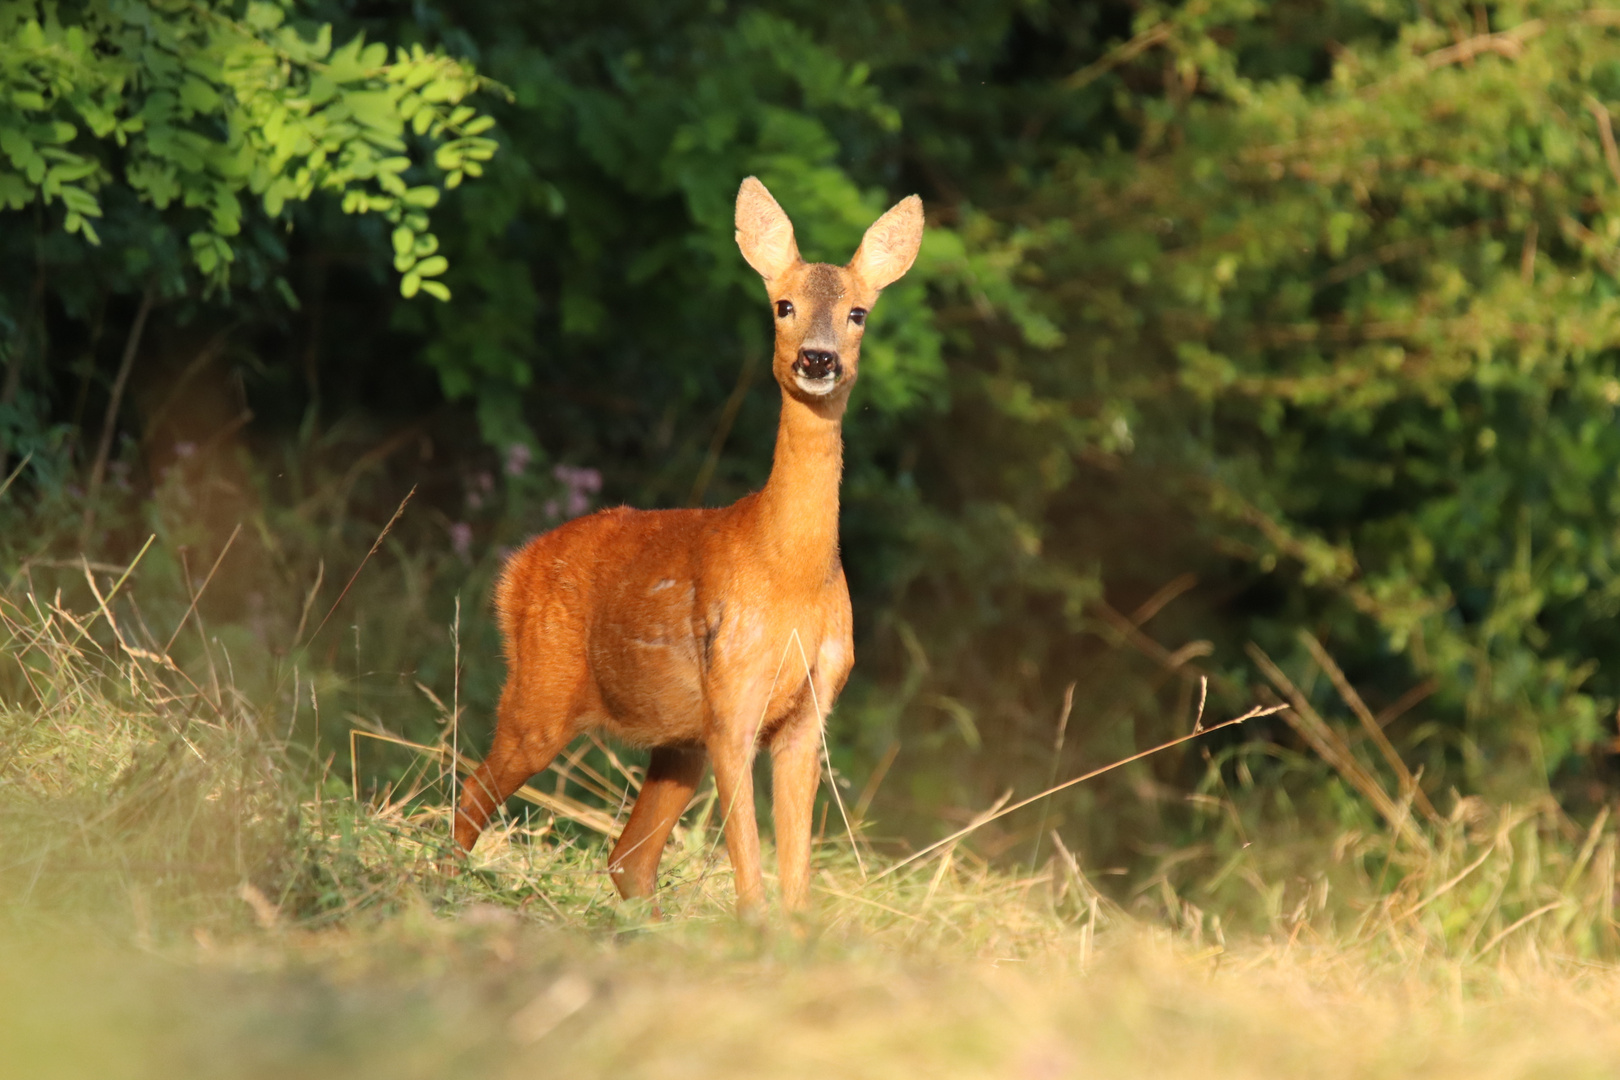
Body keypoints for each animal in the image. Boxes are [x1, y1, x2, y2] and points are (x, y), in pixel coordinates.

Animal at [453, 181, 926, 919]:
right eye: (783, 305)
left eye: (859, 313)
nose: (818, 359)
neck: (791, 576)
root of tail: (515, 568)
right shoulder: (733, 698)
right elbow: (750, 870)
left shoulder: (810, 710)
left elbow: (795, 876)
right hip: (542, 687)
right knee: (470, 801)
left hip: (675, 738)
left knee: (627, 857)